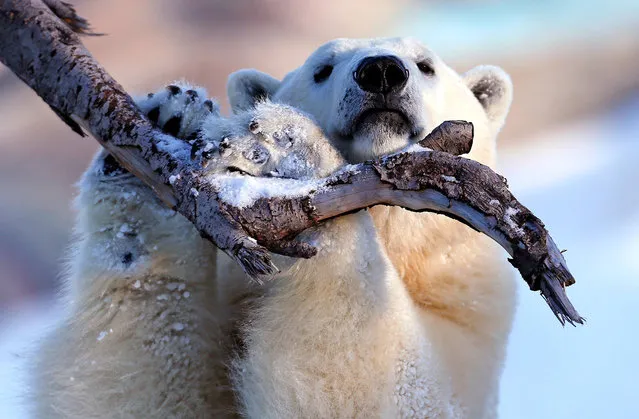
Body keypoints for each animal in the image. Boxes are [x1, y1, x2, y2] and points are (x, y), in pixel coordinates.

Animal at [32, 37, 516, 419]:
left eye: (426, 64)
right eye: (322, 68)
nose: (380, 71)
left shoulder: (469, 320)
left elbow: (385, 387)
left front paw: (284, 143)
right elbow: (140, 385)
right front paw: (169, 122)